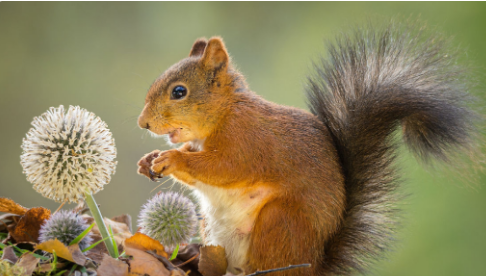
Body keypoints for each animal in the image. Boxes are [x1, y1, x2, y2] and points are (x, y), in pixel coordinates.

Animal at [136, 23, 478, 276]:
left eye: (179, 92)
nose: (143, 123)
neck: (225, 113)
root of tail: (312, 265)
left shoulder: (248, 142)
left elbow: (223, 167)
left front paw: (172, 158)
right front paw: (148, 161)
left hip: (279, 224)